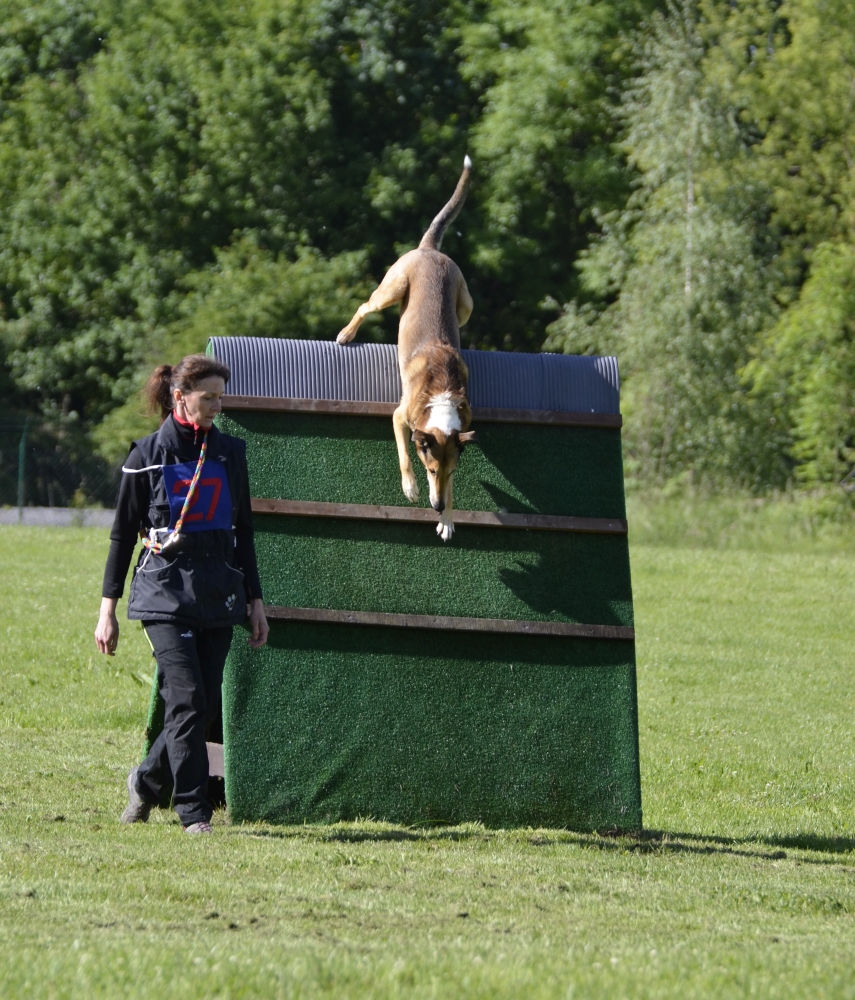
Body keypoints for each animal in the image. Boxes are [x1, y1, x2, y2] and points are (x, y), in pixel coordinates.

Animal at [338, 157, 478, 544]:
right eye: (428, 469)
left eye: (448, 472)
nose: (435, 507)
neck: (442, 399)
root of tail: (430, 250)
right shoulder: (400, 416)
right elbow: (403, 452)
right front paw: (411, 488)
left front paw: (448, 519)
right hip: (393, 286)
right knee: (364, 306)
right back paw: (345, 334)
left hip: (465, 306)